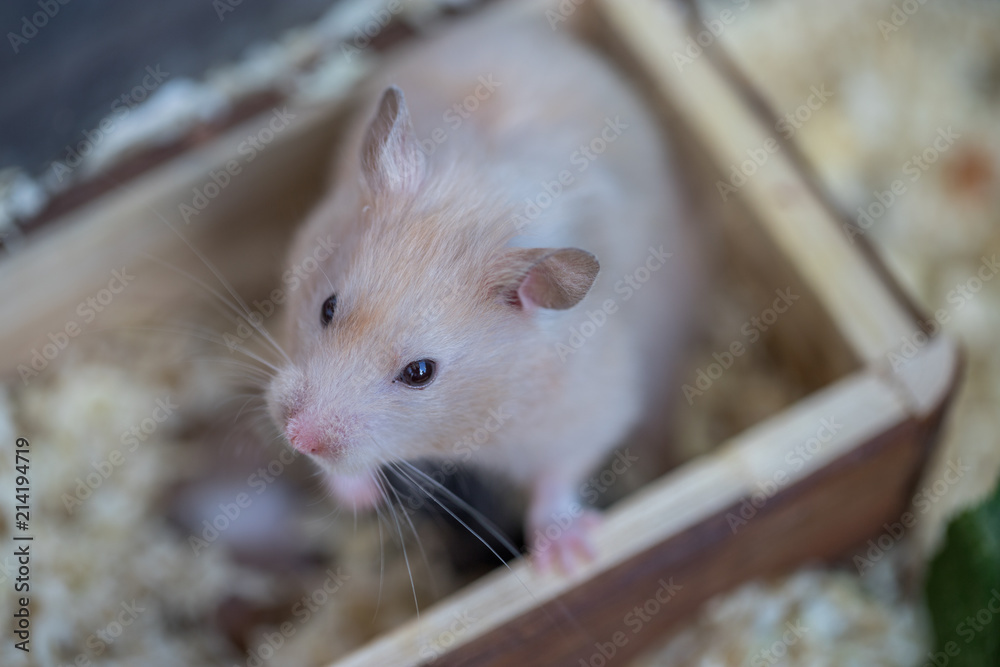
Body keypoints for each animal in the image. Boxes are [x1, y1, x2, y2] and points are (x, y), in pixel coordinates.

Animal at [266, 10, 697, 573]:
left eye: (420, 373)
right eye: (327, 307)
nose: (297, 437)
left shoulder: (594, 403)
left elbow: (561, 470)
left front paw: (567, 558)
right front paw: (357, 495)